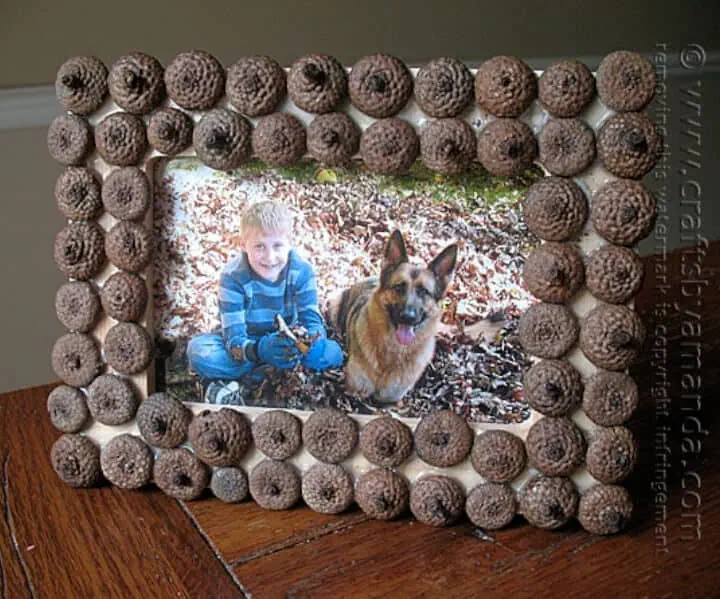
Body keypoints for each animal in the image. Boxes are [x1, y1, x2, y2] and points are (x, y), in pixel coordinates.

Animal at [330, 230, 458, 404]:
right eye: (399, 287)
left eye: (423, 291)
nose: (407, 317)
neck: (394, 352)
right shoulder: (354, 392)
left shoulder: (389, 400)